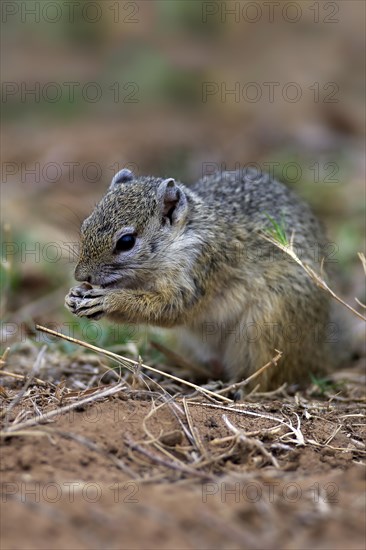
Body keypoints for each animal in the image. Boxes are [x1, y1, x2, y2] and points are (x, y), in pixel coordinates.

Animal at [65, 170, 334, 390]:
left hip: (267, 327)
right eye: (85, 225)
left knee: (267, 376)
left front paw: (109, 301)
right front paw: (74, 296)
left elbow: (171, 309)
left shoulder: (202, 267)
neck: (181, 237)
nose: (81, 275)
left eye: (126, 241)